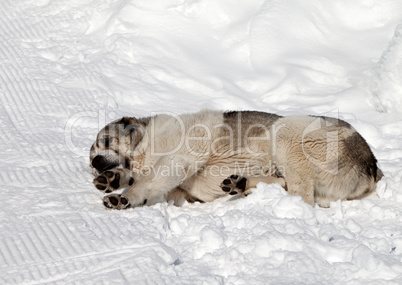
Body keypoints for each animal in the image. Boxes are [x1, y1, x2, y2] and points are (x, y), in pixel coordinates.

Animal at [89, 110, 382, 210]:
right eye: (91, 156)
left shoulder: (178, 160)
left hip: (287, 130)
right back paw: (241, 184)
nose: (94, 163)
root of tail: (372, 166)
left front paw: (124, 197)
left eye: (105, 142)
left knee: (302, 195)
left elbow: (145, 183)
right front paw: (112, 179)